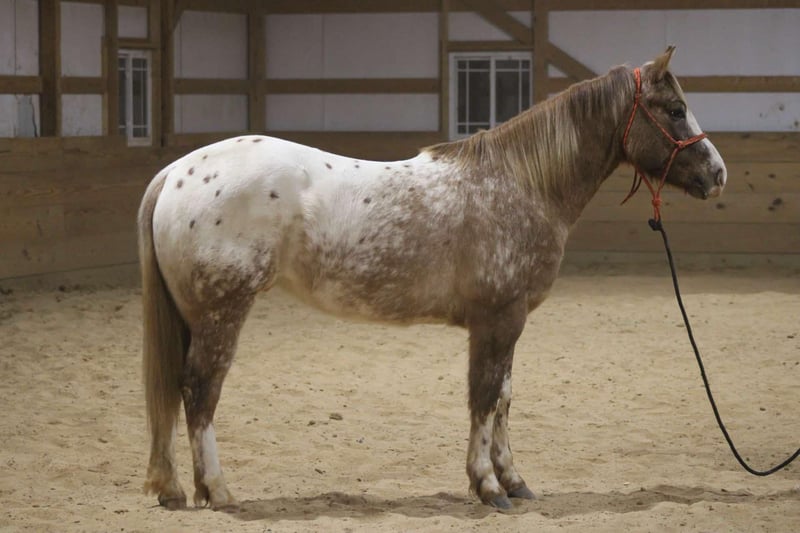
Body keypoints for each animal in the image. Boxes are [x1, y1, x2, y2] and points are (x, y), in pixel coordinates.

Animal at [138, 47, 726, 511]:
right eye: (675, 110)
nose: (717, 173)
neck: (520, 184)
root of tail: (175, 172)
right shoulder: (498, 321)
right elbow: (484, 398)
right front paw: (488, 487)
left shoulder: (506, 324)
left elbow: (504, 397)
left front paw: (514, 481)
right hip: (222, 313)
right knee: (200, 390)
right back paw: (217, 490)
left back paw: (174, 489)